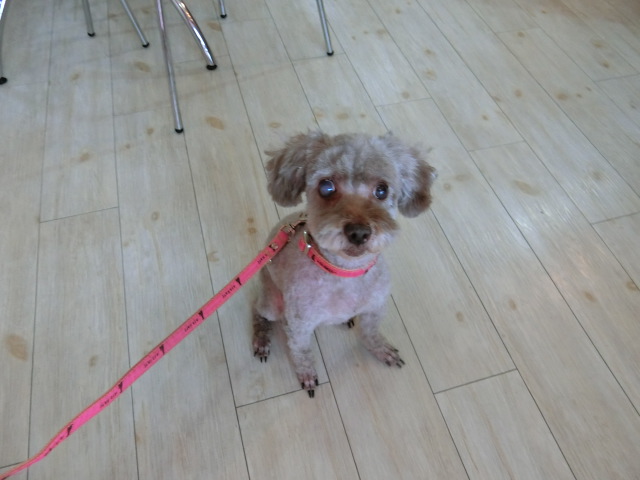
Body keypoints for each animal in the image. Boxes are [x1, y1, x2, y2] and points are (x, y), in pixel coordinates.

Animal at [253, 132, 436, 397]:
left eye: (382, 190)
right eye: (326, 187)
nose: (359, 233)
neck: (345, 273)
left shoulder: (375, 307)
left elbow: (370, 333)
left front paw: (380, 349)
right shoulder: (299, 325)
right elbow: (301, 352)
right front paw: (307, 375)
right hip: (272, 303)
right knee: (257, 311)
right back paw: (261, 339)